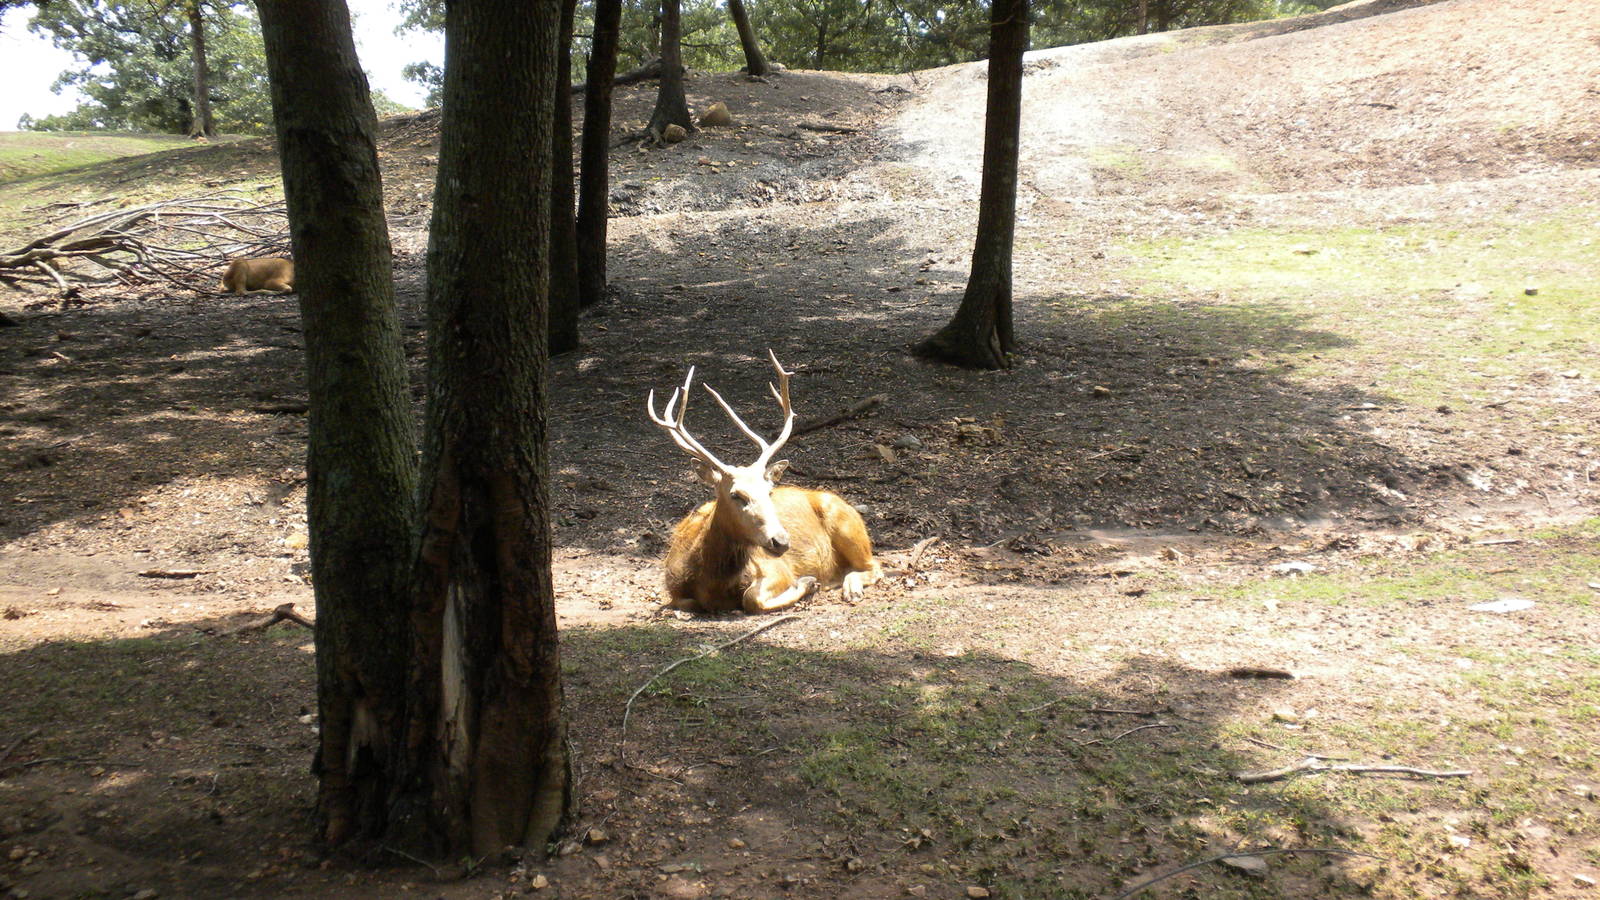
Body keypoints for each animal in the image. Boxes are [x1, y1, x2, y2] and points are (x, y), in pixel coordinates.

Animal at [647, 351, 883, 614]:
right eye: (736, 494)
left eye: (769, 492)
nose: (781, 541)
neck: (710, 581)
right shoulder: (674, 592)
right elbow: (687, 602)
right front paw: (810, 583)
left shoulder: (776, 569)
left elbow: (751, 598)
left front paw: (807, 582)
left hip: (845, 523)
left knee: (874, 565)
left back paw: (850, 588)